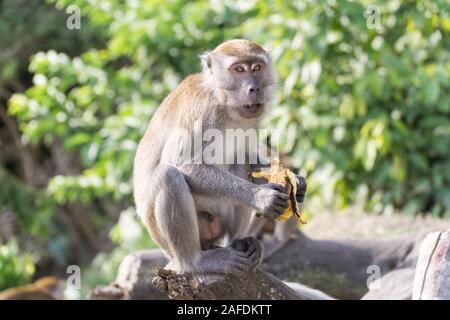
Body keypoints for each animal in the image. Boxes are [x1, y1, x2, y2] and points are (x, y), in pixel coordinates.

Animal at [133, 39, 306, 276]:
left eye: (257, 67)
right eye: (239, 69)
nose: (254, 88)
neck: (223, 101)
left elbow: (249, 154)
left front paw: (296, 183)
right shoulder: (201, 111)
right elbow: (182, 163)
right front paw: (263, 197)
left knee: (240, 162)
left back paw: (239, 242)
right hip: (164, 236)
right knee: (168, 176)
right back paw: (195, 262)